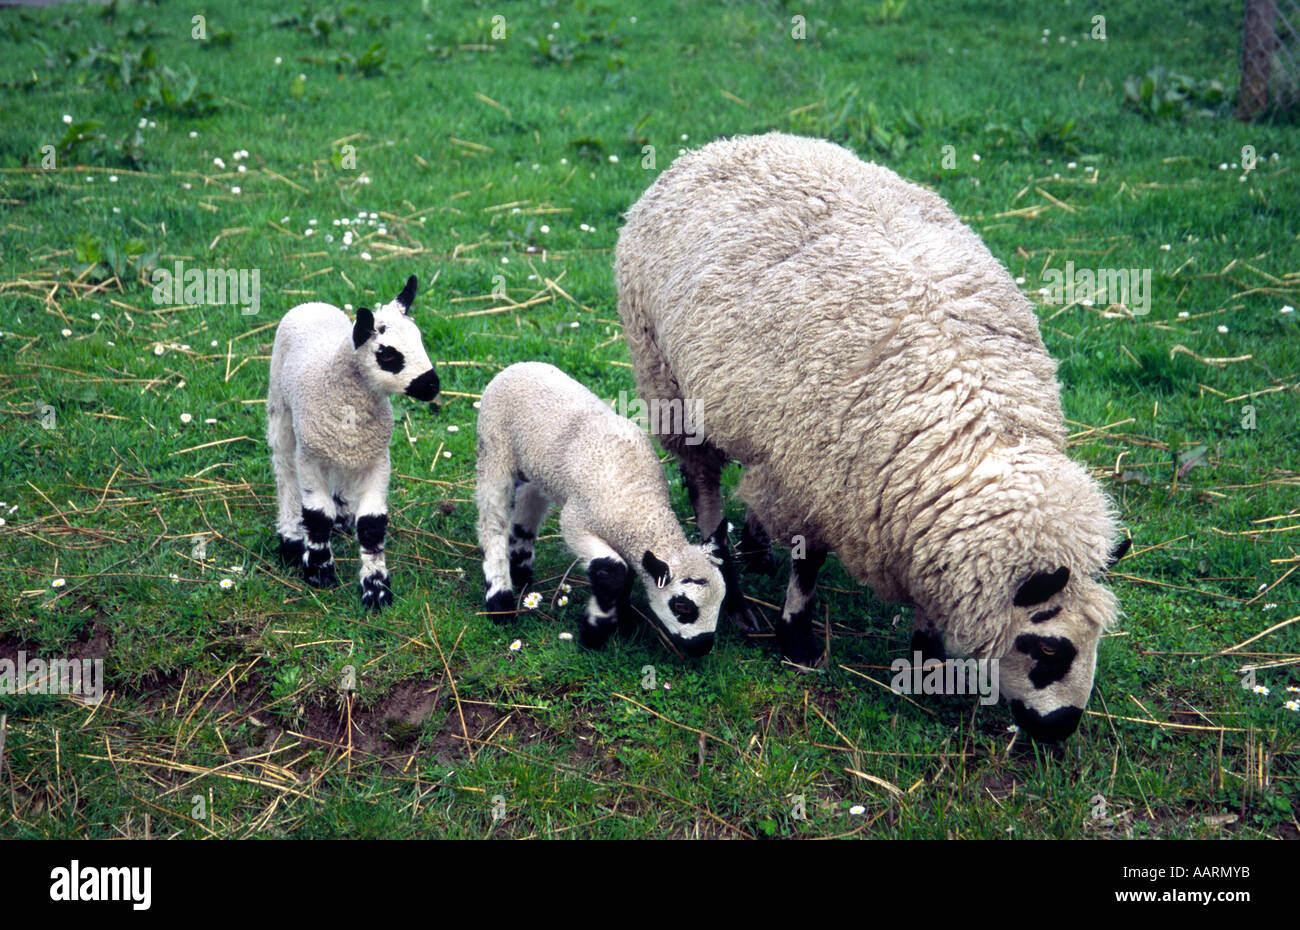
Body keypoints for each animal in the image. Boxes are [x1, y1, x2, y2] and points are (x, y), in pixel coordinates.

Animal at [267, 275, 440, 609]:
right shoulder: (311, 457)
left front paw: (376, 590)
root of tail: (312, 304)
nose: (431, 385)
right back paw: (291, 538)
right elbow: (317, 517)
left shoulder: (376, 459)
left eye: (420, 340)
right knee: (285, 470)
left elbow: (372, 525)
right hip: (280, 408)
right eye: (388, 354)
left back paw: (343, 512)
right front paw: (319, 574)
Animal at [475, 361, 733, 657]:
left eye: (722, 601)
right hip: (494, 443)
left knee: (527, 507)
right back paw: (500, 599)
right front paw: (594, 632)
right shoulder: (577, 522)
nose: (702, 647)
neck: (642, 504)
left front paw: (622, 621)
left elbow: (624, 575)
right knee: (492, 520)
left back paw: (521, 571)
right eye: (683, 607)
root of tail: (520, 365)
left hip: (537, 468)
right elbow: (613, 572)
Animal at [614, 132, 1128, 742]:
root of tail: (719, 146)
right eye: (1046, 648)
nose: (1061, 728)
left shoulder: (904, 514)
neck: (968, 430)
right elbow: (809, 562)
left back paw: (757, 546)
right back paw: (734, 593)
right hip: (667, 379)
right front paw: (798, 641)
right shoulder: (814, 478)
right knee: (704, 487)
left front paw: (927, 661)